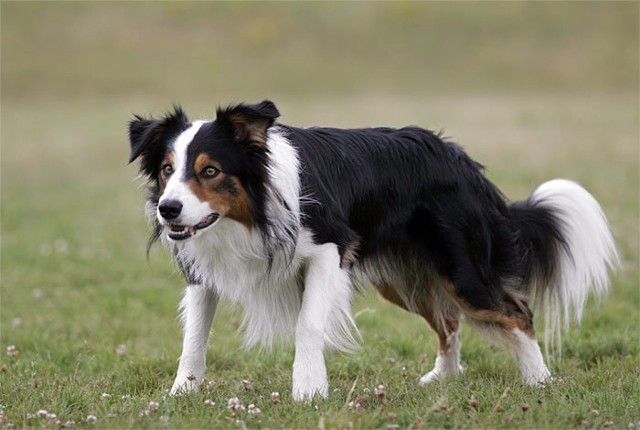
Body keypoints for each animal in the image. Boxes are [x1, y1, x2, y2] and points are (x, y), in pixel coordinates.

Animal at [127, 100, 616, 400]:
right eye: (167, 170)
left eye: (210, 170)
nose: (169, 210)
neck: (248, 214)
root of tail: (462, 159)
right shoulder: (203, 270)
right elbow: (193, 338)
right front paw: (181, 393)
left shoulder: (331, 247)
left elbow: (308, 325)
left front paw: (308, 390)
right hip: (406, 278)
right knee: (449, 322)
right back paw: (443, 378)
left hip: (461, 269)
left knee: (516, 313)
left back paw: (539, 381)